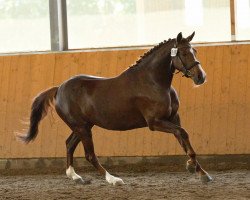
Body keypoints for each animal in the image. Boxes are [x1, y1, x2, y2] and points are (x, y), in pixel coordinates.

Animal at [18, 32, 213, 185]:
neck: (153, 82)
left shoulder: (173, 118)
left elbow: (183, 139)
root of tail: (59, 88)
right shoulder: (155, 122)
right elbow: (183, 134)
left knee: (69, 144)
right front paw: (192, 167)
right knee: (89, 155)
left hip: (83, 126)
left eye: (194, 51)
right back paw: (113, 179)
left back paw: (75, 177)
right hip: (82, 127)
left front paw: (202, 173)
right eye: (183, 53)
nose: (201, 77)